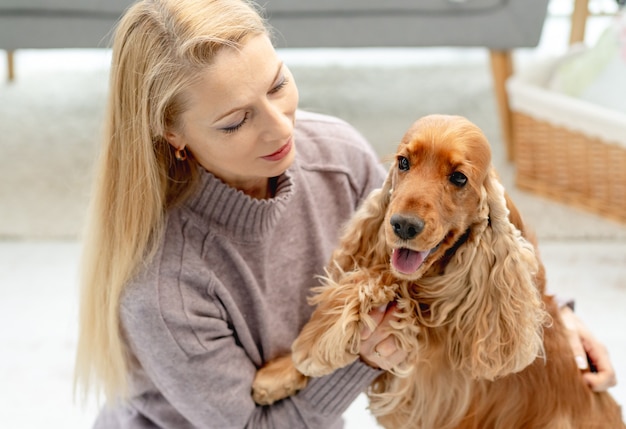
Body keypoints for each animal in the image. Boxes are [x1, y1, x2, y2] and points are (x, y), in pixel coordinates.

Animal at [251, 114, 620, 428]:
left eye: (458, 177)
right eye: (403, 162)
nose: (403, 225)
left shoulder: (432, 377)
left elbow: (387, 284)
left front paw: (312, 345)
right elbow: (382, 276)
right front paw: (279, 373)